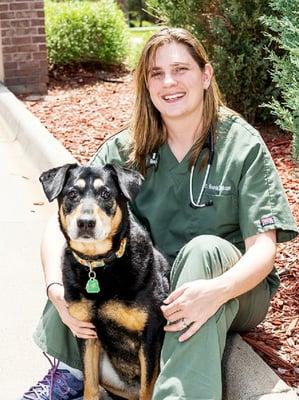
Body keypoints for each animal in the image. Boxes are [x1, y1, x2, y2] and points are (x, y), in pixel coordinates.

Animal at [39, 162, 170, 400]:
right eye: (72, 194)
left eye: (106, 194)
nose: (86, 223)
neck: (99, 265)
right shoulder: (86, 332)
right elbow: (90, 385)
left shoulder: (150, 334)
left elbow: (148, 388)